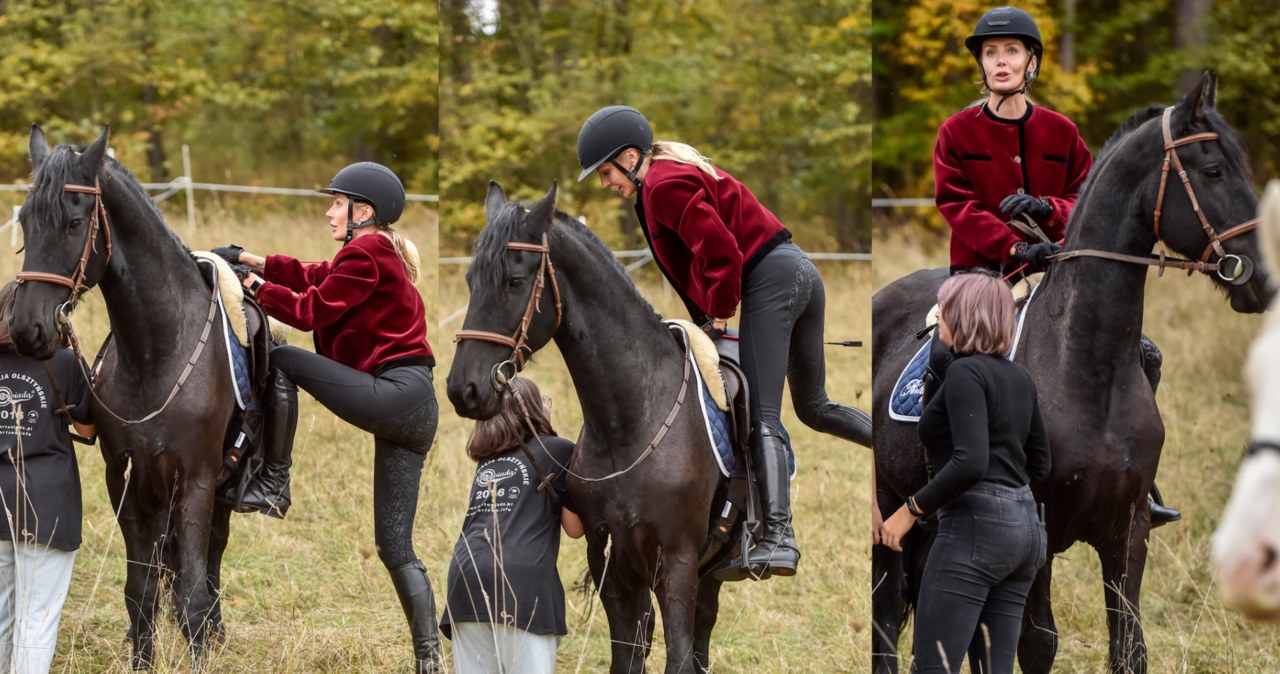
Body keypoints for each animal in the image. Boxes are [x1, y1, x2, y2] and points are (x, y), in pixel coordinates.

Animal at [10, 127, 238, 670]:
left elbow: (193, 594)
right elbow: (141, 590)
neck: (156, 352)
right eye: (25, 221)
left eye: (74, 222)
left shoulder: (197, 482)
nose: (27, 329)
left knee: (212, 557)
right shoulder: (125, 482)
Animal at [448, 181, 732, 670]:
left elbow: (677, 656)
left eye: (514, 282)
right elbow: (627, 655)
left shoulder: (678, 564)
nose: (463, 388)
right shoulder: (610, 561)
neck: (629, 423)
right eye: (470, 282)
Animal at [870, 73, 1269, 674]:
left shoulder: (1128, 532)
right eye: (1214, 171)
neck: (1085, 369)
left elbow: (1129, 647)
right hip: (891, 506)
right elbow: (1036, 644)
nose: (1264, 280)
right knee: (889, 613)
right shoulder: (1037, 528)